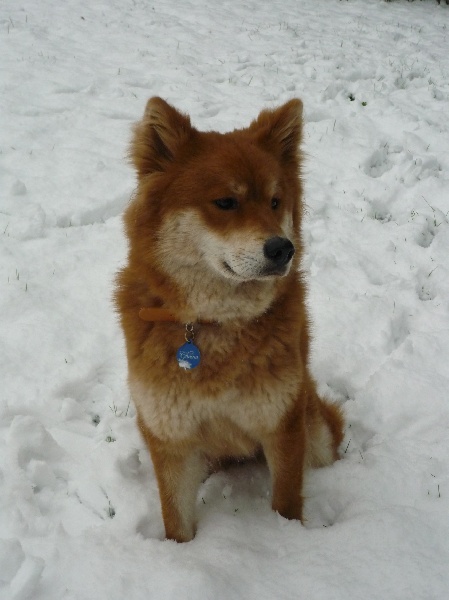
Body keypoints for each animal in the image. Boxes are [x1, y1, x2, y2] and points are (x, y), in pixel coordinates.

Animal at [115, 97, 344, 542]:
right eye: (225, 203)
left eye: (275, 202)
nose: (283, 249)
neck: (214, 324)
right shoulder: (171, 438)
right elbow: (177, 523)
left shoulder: (282, 424)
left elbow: (287, 502)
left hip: (315, 428)